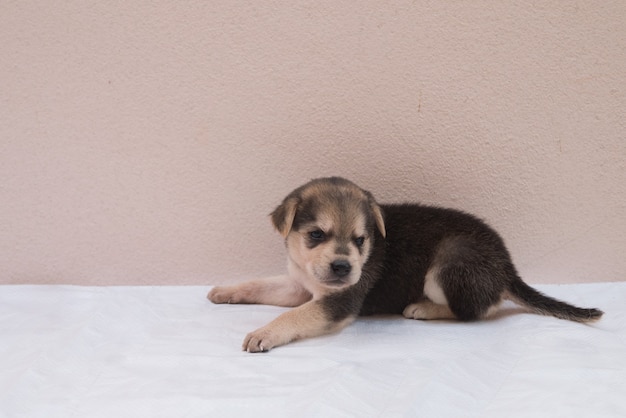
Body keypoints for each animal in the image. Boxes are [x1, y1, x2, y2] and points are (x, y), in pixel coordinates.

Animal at [207, 176, 604, 352]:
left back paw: (424, 309)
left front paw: (264, 332)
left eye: (360, 240)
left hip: (449, 262)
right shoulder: (298, 285)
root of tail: (508, 267)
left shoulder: (338, 302)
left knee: (477, 309)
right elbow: (260, 284)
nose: (343, 268)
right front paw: (224, 290)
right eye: (316, 235)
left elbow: (294, 317)